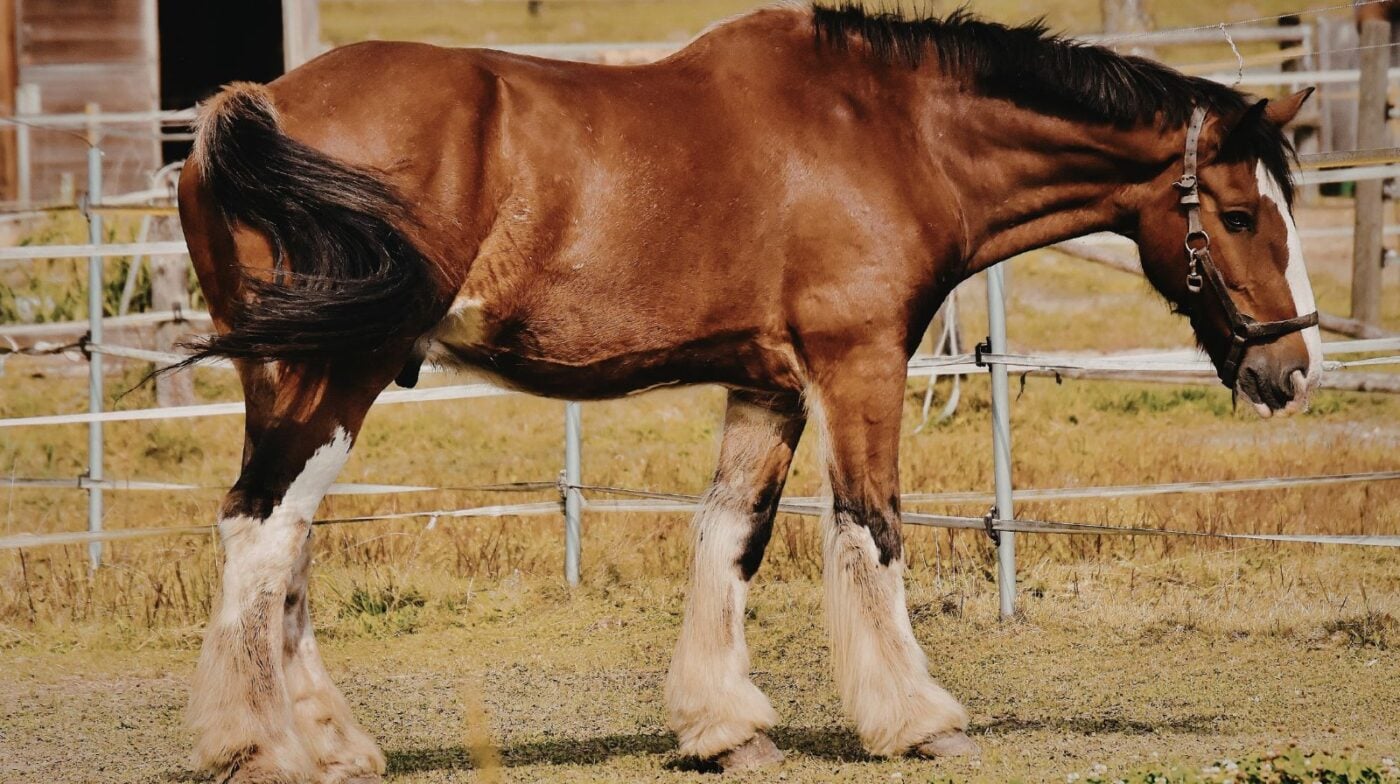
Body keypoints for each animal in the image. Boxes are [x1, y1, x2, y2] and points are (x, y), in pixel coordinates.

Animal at [175, 3, 1321, 780]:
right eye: (1237, 215)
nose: (1294, 367)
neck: (887, 132)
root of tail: (256, 107)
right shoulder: (858, 365)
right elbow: (872, 527)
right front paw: (918, 719)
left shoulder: (768, 387)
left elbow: (730, 535)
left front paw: (723, 727)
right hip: (339, 372)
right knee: (263, 532)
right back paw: (261, 747)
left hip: (286, 377)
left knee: (281, 544)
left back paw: (332, 745)